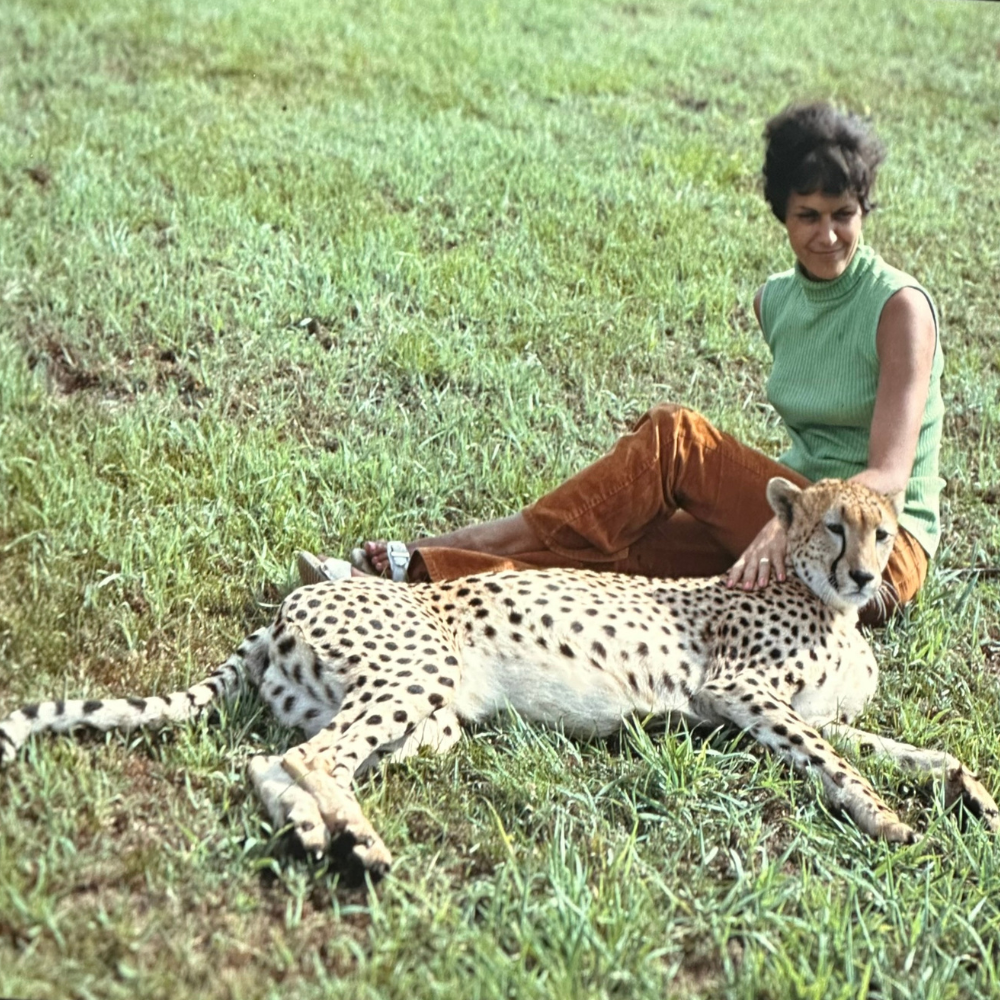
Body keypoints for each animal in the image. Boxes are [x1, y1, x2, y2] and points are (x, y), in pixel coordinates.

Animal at [1, 477, 996, 879]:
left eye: (883, 534)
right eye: (834, 526)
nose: (863, 576)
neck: (820, 601)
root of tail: (295, 599)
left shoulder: (797, 705)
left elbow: (909, 747)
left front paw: (970, 790)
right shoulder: (736, 692)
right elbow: (840, 761)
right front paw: (886, 818)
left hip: (423, 716)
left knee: (274, 760)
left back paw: (320, 833)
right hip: (417, 673)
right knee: (311, 759)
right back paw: (358, 841)